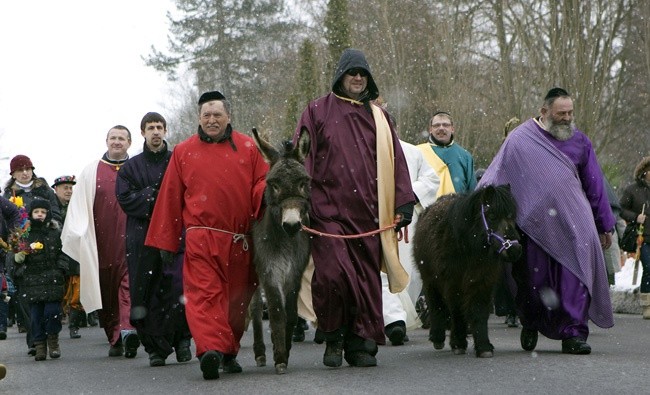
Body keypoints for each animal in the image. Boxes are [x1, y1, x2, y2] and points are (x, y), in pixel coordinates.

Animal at [410, 186, 520, 358]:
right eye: (492, 215)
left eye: (511, 216)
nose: (515, 250)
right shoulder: (453, 284)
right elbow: (457, 311)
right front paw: (458, 343)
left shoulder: (482, 282)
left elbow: (479, 311)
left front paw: (483, 346)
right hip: (430, 280)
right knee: (435, 304)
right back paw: (437, 337)